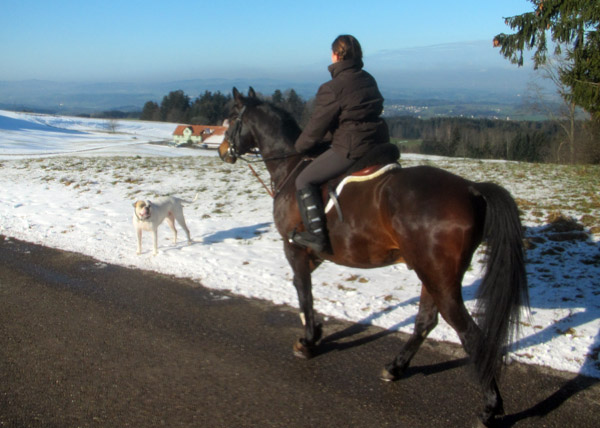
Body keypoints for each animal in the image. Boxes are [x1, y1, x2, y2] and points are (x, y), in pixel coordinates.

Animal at [218, 87, 528, 424]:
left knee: (469, 333)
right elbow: (305, 292)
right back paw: (395, 367)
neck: (292, 165)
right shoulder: (314, 254)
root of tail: (471, 189)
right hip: (432, 274)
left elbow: (304, 293)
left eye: (232, 116)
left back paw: (490, 406)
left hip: (438, 277)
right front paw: (317, 331)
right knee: (426, 321)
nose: (222, 150)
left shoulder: (295, 249)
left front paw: (309, 340)